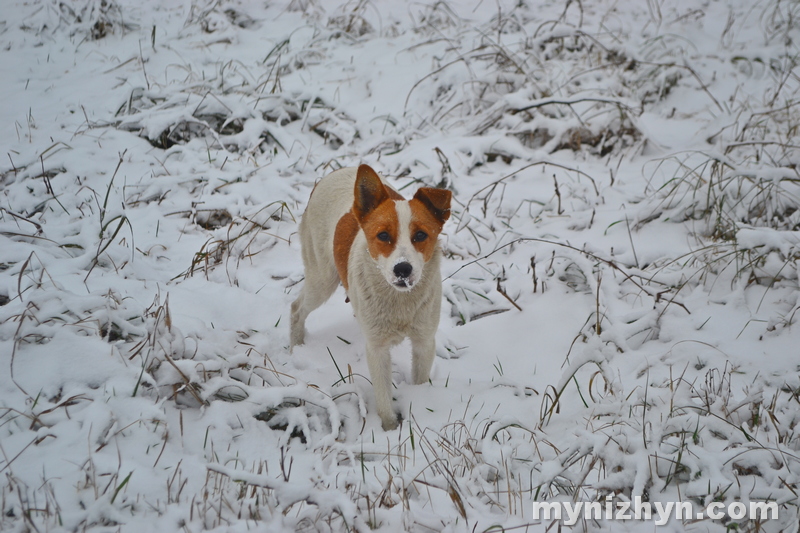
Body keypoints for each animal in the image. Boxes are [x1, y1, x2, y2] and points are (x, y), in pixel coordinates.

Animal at [290, 162, 454, 428]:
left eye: (420, 235)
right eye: (383, 235)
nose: (402, 269)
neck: (399, 301)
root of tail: (332, 173)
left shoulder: (424, 341)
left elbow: (420, 379)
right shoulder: (377, 350)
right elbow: (384, 398)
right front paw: (390, 429)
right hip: (322, 279)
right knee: (296, 308)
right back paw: (296, 348)